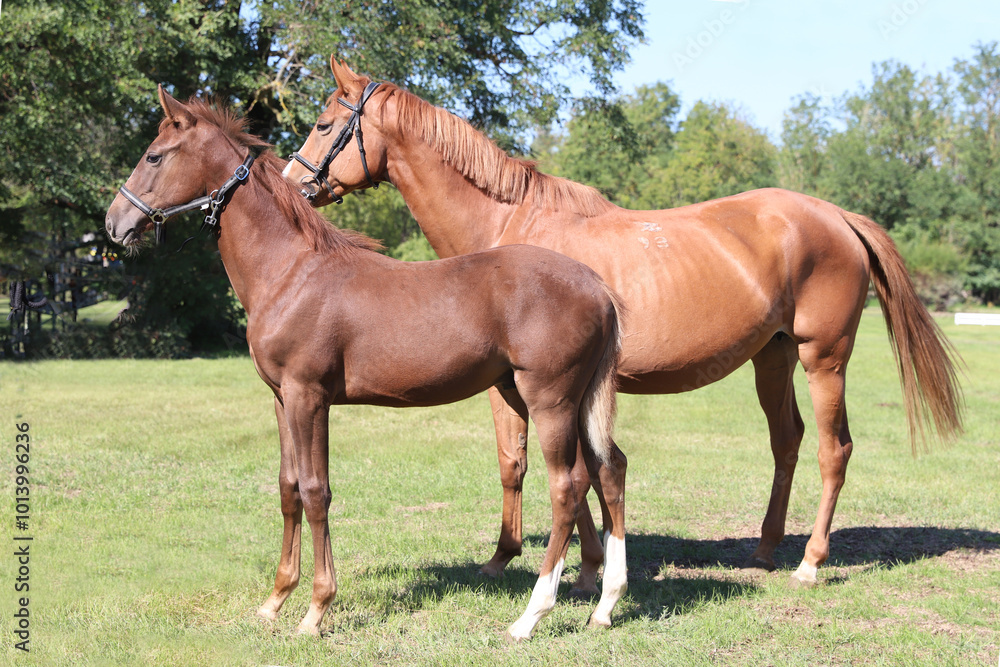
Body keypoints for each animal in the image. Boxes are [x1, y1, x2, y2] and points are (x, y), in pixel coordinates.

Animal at [104, 86, 629, 641]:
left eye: (154, 156)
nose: (115, 224)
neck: (291, 271)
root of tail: (597, 286)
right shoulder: (281, 399)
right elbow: (288, 489)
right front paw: (275, 601)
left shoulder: (309, 397)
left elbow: (316, 492)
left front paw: (315, 610)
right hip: (569, 402)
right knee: (606, 470)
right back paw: (604, 604)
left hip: (548, 400)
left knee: (566, 488)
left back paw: (530, 616)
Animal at [283, 58, 963, 591]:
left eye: (323, 125)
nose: (291, 184)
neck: (508, 230)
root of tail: (836, 216)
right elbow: (571, 469)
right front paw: (586, 564)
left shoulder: (521, 387)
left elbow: (528, 465)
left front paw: (523, 559)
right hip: (772, 357)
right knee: (787, 442)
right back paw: (766, 550)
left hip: (825, 358)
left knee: (832, 449)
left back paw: (811, 562)